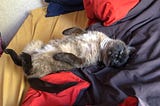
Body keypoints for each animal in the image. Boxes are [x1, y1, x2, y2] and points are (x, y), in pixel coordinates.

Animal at [4, 26, 136, 92]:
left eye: (117, 61)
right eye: (120, 52)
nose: (116, 57)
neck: (100, 46)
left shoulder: (81, 61)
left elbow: (69, 56)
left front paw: (58, 55)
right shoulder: (83, 33)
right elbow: (75, 29)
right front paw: (65, 31)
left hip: (40, 67)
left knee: (26, 68)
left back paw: (23, 57)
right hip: (36, 43)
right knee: (20, 60)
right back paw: (9, 51)